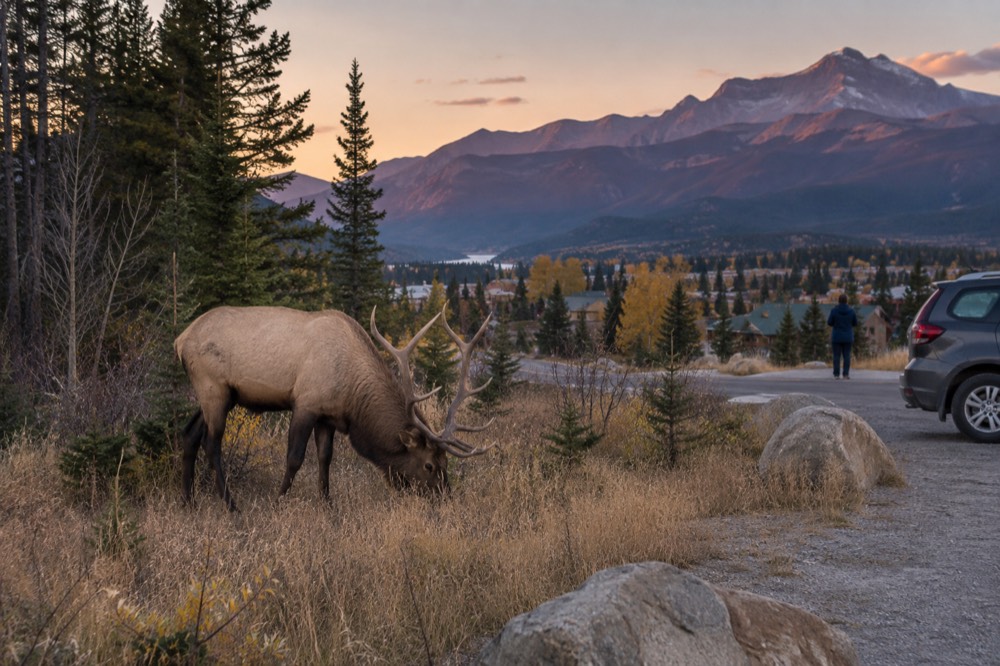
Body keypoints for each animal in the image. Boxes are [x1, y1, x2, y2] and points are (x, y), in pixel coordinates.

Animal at [174, 305, 493, 510]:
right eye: (429, 465)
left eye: (446, 462)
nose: (446, 497)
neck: (352, 396)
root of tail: (180, 340)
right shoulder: (306, 403)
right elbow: (295, 458)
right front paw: (278, 502)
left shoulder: (328, 417)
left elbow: (325, 459)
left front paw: (328, 507)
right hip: (214, 387)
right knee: (211, 444)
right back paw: (231, 506)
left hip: (215, 395)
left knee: (190, 434)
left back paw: (188, 502)